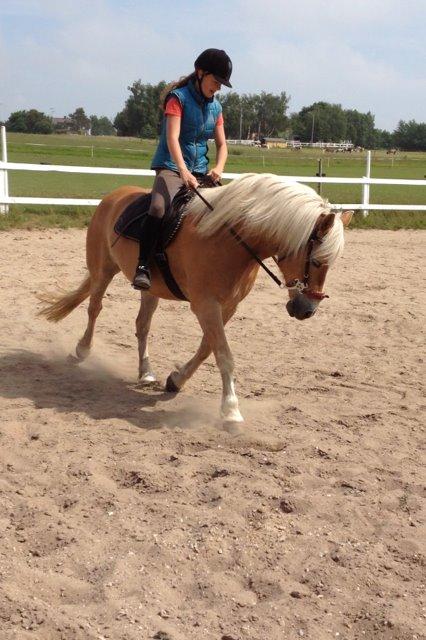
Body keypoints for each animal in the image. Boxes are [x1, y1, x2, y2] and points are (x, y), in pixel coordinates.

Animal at [39, 174, 352, 424]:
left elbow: (207, 348)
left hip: (150, 290)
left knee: (142, 326)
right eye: (316, 260)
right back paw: (82, 350)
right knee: (94, 308)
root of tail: (114, 196)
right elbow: (223, 354)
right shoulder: (205, 305)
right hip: (102, 270)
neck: (230, 241)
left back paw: (146, 372)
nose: (307, 310)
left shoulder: (227, 306)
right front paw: (231, 410)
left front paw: (175, 381)